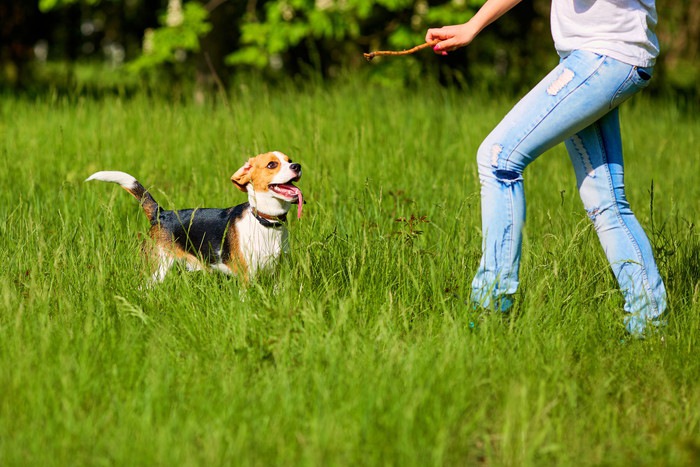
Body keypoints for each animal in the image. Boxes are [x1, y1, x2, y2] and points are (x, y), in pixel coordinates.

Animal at [86, 152, 302, 284]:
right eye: (272, 164)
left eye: (289, 159)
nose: (297, 165)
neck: (267, 222)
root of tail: (161, 213)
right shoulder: (246, 276)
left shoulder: (279, 274)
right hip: (156, 269)